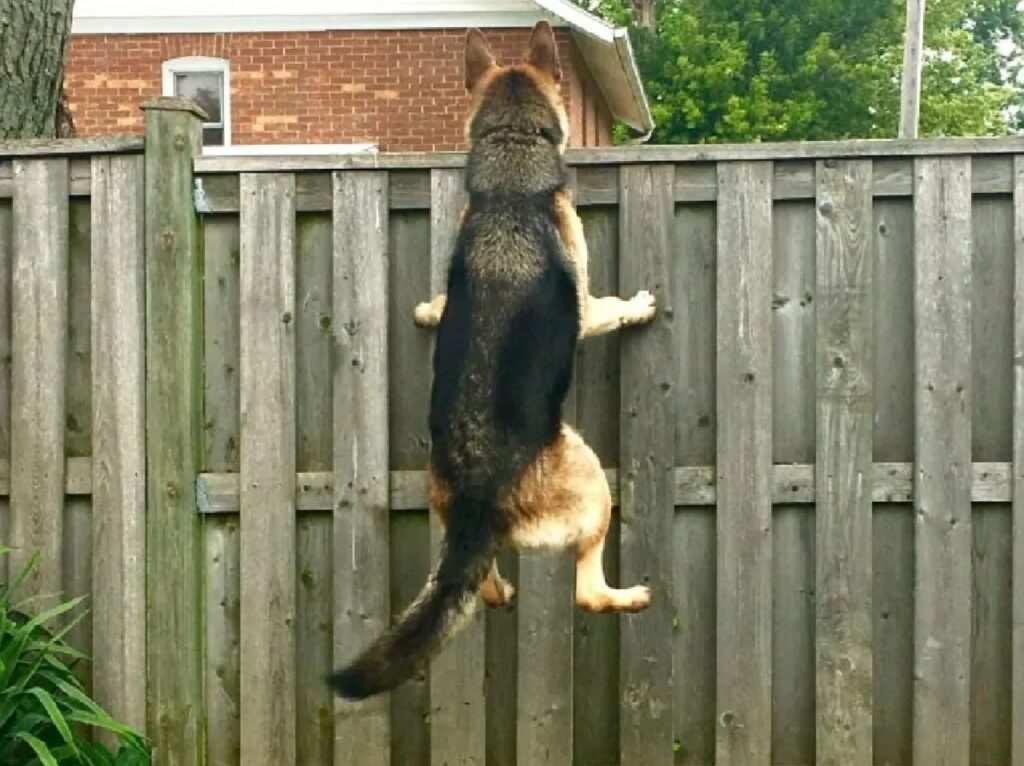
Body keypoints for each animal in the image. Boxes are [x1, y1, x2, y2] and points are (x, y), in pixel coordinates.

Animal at [327, 19, 655, 700]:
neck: (510, 157)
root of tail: (479, 502)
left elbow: (440, 299)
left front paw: (429, 311)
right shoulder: (586, 304)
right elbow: (607, 307)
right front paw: (639, 305)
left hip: (447, 516)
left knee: (479, 586)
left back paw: (498, 588)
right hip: (593, 481)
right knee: (585, 592)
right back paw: (629, 596)